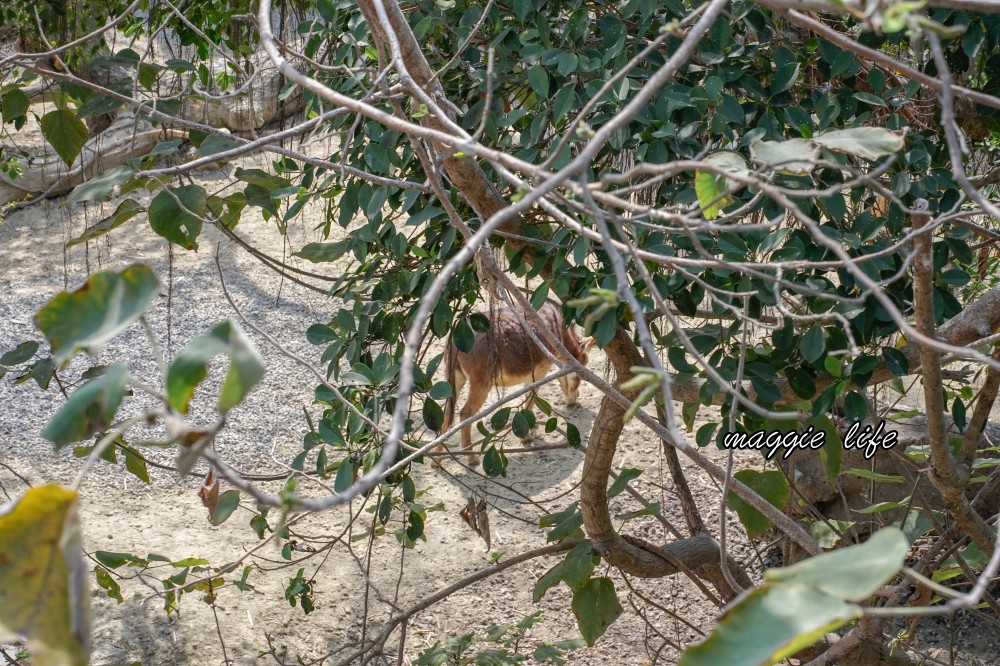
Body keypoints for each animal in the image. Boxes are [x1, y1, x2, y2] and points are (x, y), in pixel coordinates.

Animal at [438, 300, 592, 462]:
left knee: (447, 413)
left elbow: (529, 402)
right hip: (481, 384)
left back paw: (437, 457)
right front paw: (526, 437)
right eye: (581, 373)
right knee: (465, 414)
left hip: (454, 378)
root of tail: (454, 340)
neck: (556, 332)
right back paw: (471, 458)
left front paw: (531, 428)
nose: (574, 400)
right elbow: (530, 401)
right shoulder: (539, 373)